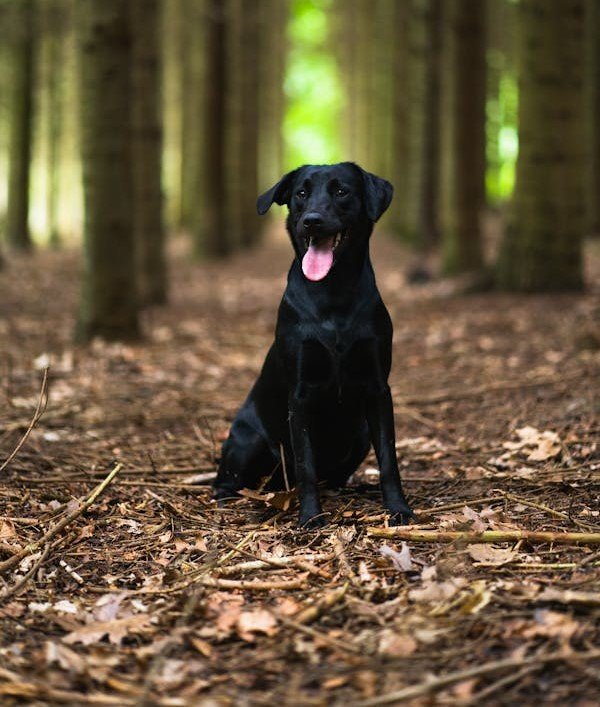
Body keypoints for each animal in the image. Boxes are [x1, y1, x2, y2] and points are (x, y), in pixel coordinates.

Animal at [213, 163, 414, 528]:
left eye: (342, 191)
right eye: (301, 194)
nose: (312, 220)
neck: (333, 292)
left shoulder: (378, 388)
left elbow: (389, 459)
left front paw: (398, 508)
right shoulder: (301, 394)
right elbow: (306, 464)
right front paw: (310, 516)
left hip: (360, 435)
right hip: (248, 442)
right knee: (228, 480)